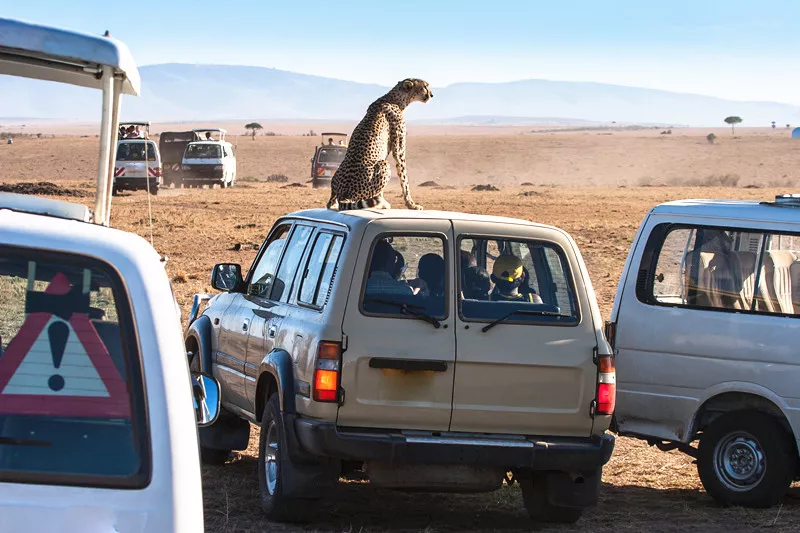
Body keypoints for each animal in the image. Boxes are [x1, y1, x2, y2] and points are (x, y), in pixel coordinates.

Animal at [324, 78, 432, 211]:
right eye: (425, 86)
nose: (431, 95)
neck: (394, 99)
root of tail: (344, 195)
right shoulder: (399, 150)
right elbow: (404, 178)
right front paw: (411, 204)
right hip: (383, 164)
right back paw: (382, 204)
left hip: (335, 180)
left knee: (329, 204)